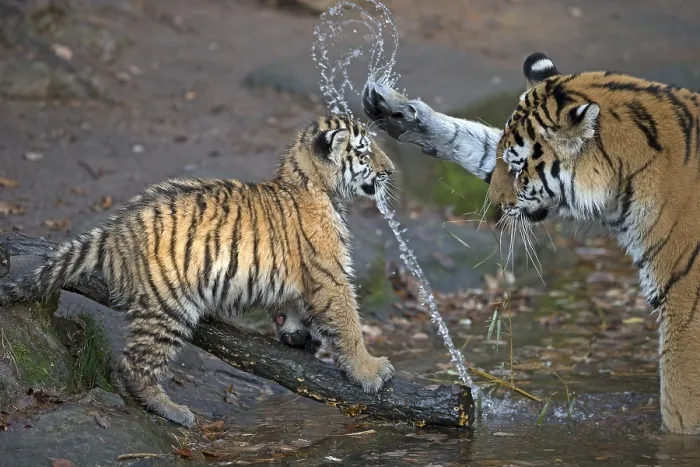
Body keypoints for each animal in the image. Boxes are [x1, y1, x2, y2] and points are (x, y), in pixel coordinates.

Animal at [0, 114, 396, 428]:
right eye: (365, 151)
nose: (391, 170)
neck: (310, 181)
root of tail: (115, 229)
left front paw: (296, 334)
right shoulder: (330, 275)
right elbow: (348, 323)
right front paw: (370, 370)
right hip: (168, 307)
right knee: (133, 363)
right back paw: (173, 411)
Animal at [362, 53, 700, 434]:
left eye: (518, 168)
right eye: (504, 162)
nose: (493, 201)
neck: (626, 176)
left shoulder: (685, 305)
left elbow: (680, 404)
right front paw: (399, 113)